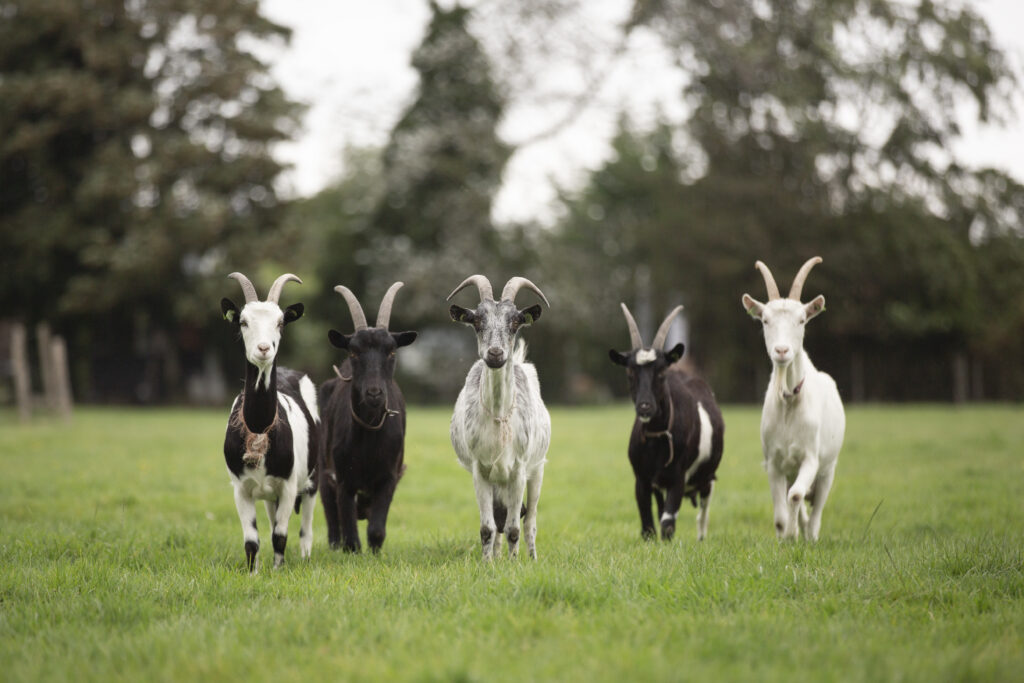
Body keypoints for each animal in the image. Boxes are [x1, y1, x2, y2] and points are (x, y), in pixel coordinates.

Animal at [221, 272, 320, 573]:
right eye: (243, 321)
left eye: (280, 322)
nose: (264, 349)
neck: (258, 428)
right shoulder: (241, 489)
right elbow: (252, 540)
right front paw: (253, 573)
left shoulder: (288, 486)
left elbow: (280, 534)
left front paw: (278, 570)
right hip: (267, 496)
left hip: (312, 478)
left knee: (306, 525)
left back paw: (305, 556)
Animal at [318, 282, 417, 553]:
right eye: (354, 352)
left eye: (392, 351)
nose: (374, 393)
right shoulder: (343, 478)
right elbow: (348, 528)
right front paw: (352, 551)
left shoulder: (389, 476)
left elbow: (376, 529)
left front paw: (374, 552)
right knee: (332, 516)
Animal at [447, 275, 551, 560]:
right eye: (477, 321)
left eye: (514, 322)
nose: (495, 354)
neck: (498, 417)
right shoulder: (480, 470)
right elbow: (488, 528)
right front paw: (488, 564)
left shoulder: (519, 470)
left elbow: (515, 527)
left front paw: (514, 565)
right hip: (497, 482)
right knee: (498, 521)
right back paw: (496, 555)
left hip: (537, 469)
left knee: (530, 521)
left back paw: (531, 558)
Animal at [609, 304, 725, 541]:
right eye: (629, 371)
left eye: (661, 371)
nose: (645, 406)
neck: (656, 438)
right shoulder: (642, 480)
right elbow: (648, 527)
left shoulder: (677, 479)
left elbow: (667, 524)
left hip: (706, 478)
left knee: (703, 511)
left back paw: (701, 538)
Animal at [742, 256, 845, 541]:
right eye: (765, 320)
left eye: (802, 320)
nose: (781, 350)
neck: (789, 402)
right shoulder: (774, 463)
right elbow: (780, 515)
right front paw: (786, 535)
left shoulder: (810, 458)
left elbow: (797, 495)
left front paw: (793, 535)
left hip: (828, 470)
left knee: (816, 507)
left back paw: (810, 534)